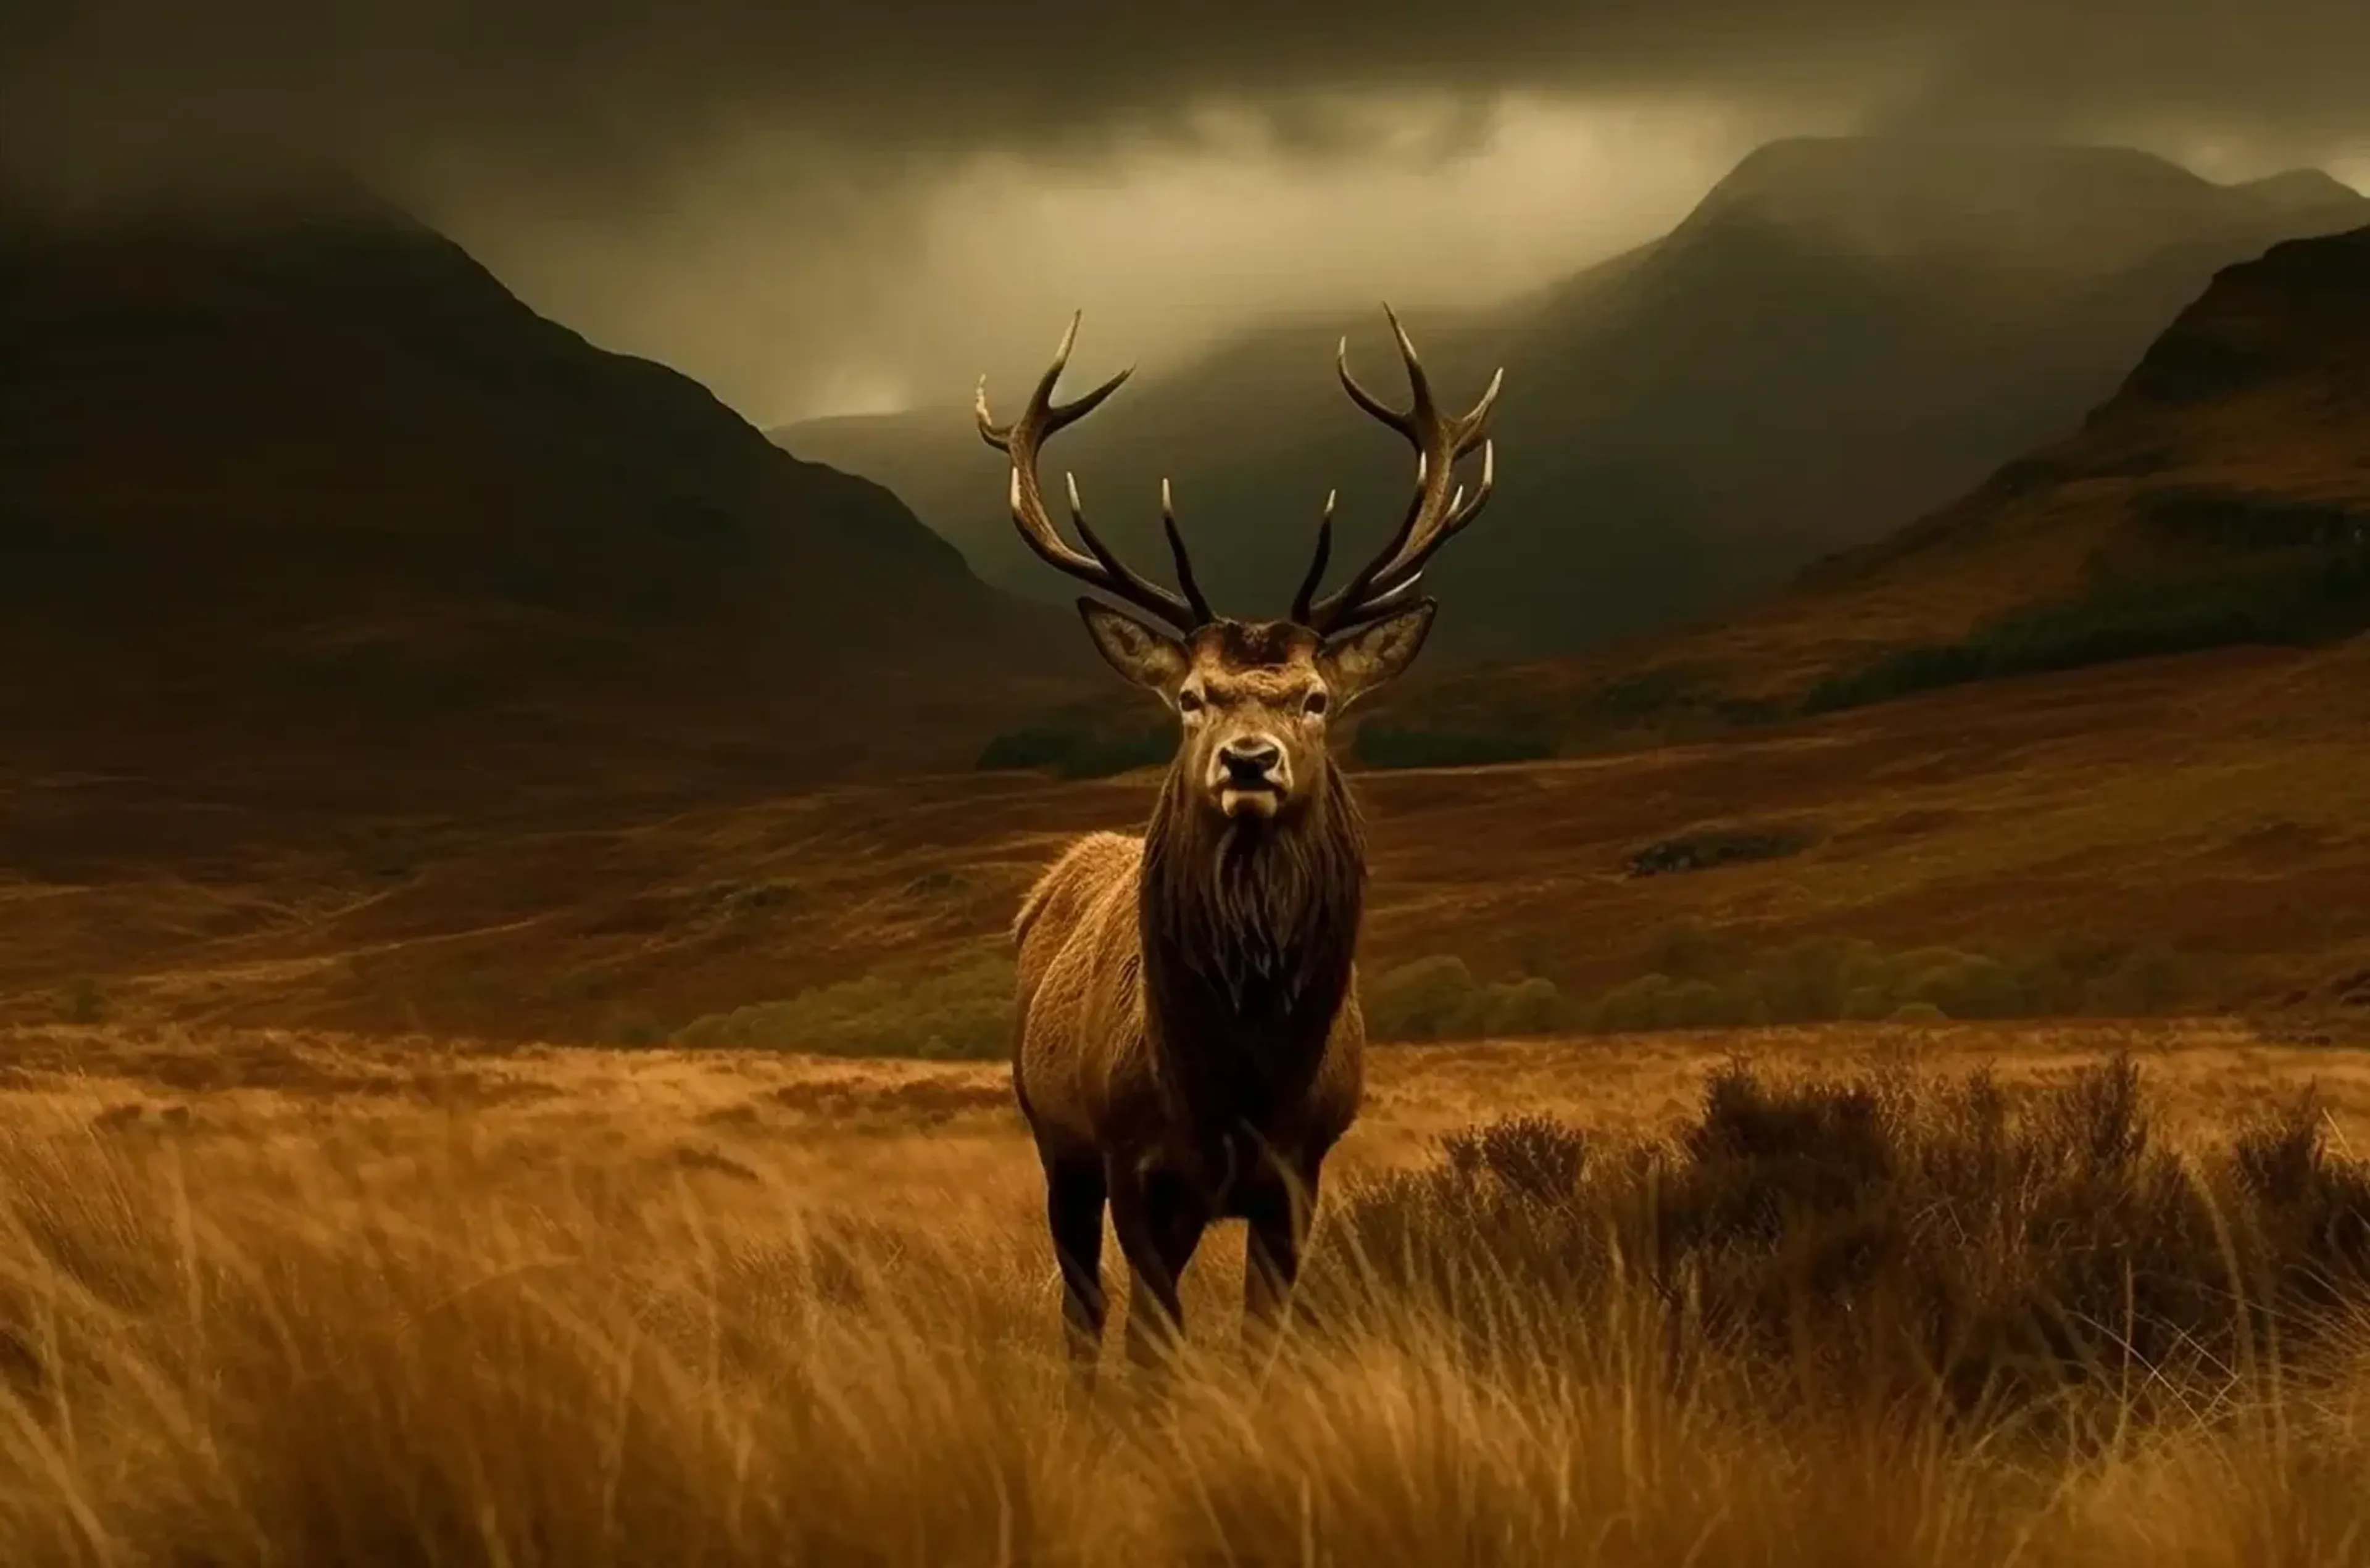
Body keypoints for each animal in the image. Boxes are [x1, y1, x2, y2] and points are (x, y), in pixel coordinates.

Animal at [979, 305, 1502, 1380]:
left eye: (1317, 698)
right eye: (1191, 697)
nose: (1250, 761)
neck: (1236, 1075)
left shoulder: (1299, 1170)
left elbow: (1264, 1344)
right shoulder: (1132, 1161)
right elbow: (1152, 1342)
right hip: (1053, 1141)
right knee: (1082, 1310)